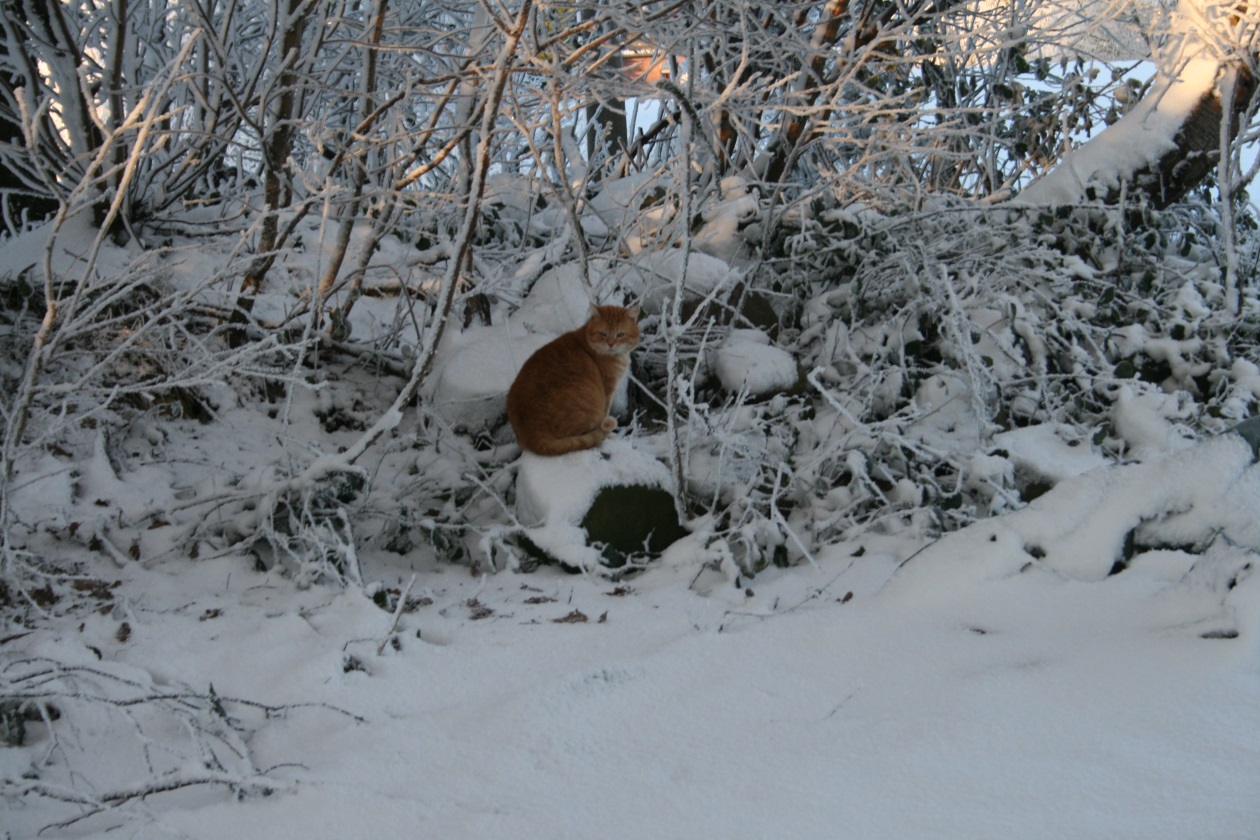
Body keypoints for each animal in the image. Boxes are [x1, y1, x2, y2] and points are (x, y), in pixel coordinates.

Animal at [504, 306, 640, 455]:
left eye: (620, 334)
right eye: (603, 333)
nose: (610, 344)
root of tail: (533, 435)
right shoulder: (608, 390)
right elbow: (606, 413)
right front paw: (609, 437)